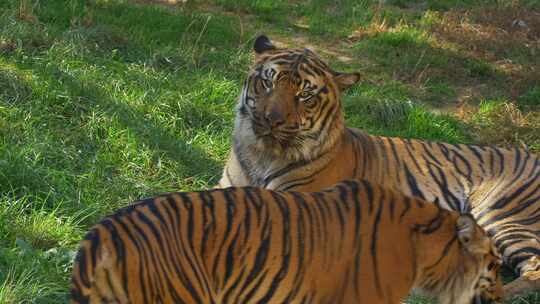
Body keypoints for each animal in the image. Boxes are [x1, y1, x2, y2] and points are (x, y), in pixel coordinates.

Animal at [217, 34, 540, 298]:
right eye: (268, 82)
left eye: (305, 95)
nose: (271, 119)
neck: (263, 154)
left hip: (505, 215)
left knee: (533, 270)